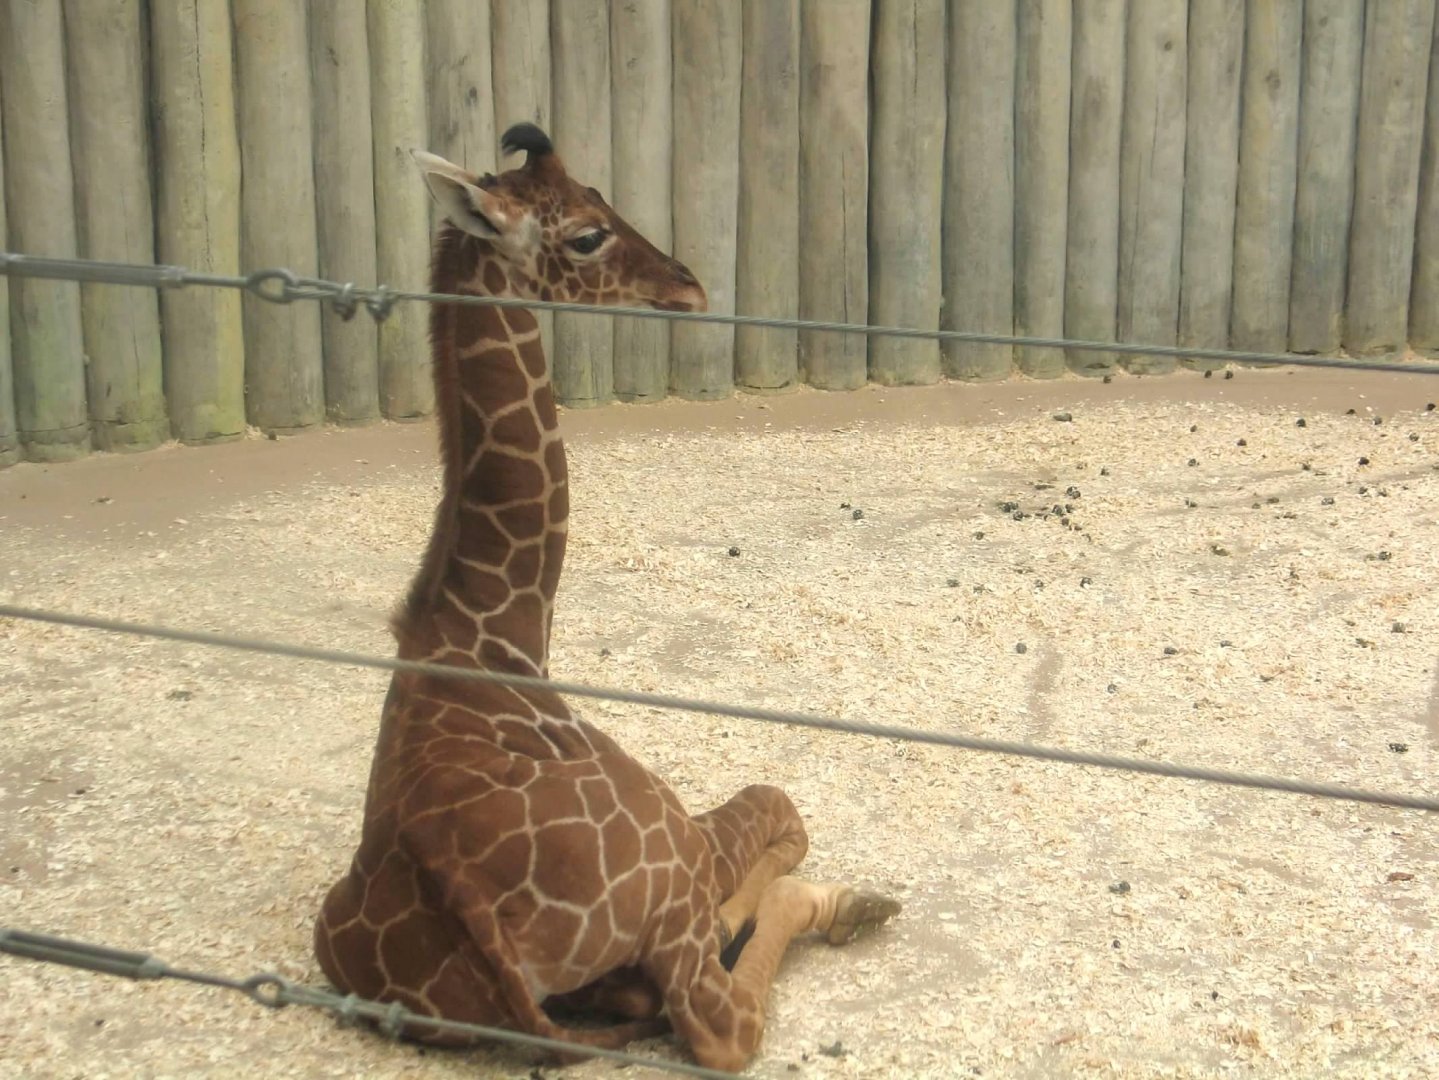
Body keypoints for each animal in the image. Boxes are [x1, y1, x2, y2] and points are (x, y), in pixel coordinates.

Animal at [313, 124, 900, 1073]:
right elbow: (783, 806)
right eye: (586, 235)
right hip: (670, 862)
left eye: (598, 191)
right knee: (718, 1017)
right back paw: (844, 906)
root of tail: (473, 921)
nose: (688, 284)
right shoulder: (691, 839)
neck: (495, 633)